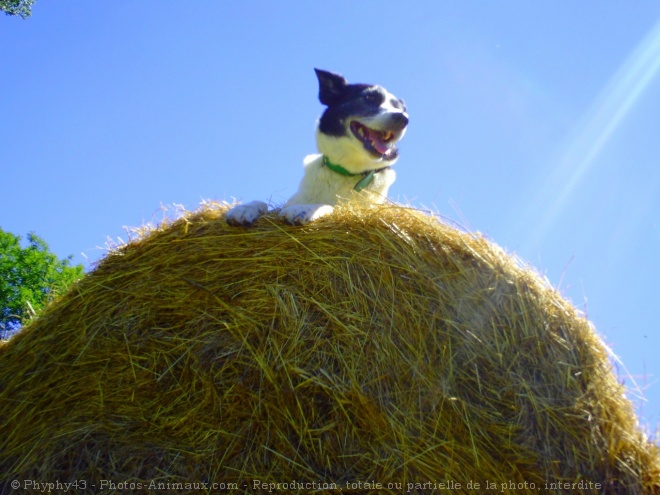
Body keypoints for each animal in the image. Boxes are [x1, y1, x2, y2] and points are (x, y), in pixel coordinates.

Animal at [229, 68, 410, 227]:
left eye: (400, 109)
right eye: (369, 97)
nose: (403, 118)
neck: (346, 171)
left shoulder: (359, 208)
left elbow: (331, 206)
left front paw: (304, 210)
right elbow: (262, 203)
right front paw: (243, 209)